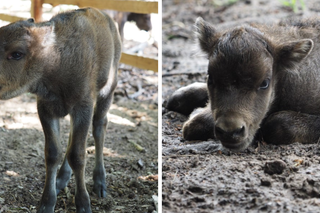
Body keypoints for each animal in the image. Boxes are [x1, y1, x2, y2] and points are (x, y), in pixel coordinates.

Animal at [0, 7, 121, 212]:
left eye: (16, 53)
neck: (57, 59)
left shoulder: (83, 108)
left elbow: (78, 155)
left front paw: (83, 204)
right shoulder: (46, 109)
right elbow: (52, 153)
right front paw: (47, 202)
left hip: (108, 90)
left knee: (99, 125)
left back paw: (100, 183)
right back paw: (61, 179)